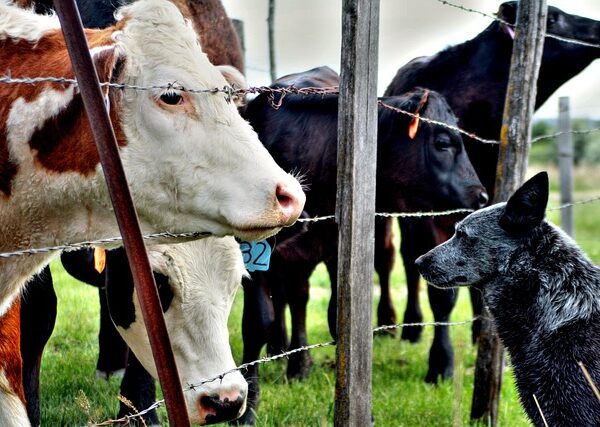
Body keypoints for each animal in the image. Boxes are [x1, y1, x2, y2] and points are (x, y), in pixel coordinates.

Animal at [236, 67, 488, 424]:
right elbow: (259, 321)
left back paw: (299, 367)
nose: (480, 196)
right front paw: (248, 408)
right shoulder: (257, 252)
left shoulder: (333, 246)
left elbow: (337, 318)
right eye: (443, 142)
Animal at [382, 0, 600, 382]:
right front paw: (441, 363)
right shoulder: (429, 212)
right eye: (554, 17)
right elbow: (441, 292)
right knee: (406, 262)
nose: (599, 28)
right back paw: (410, 327)